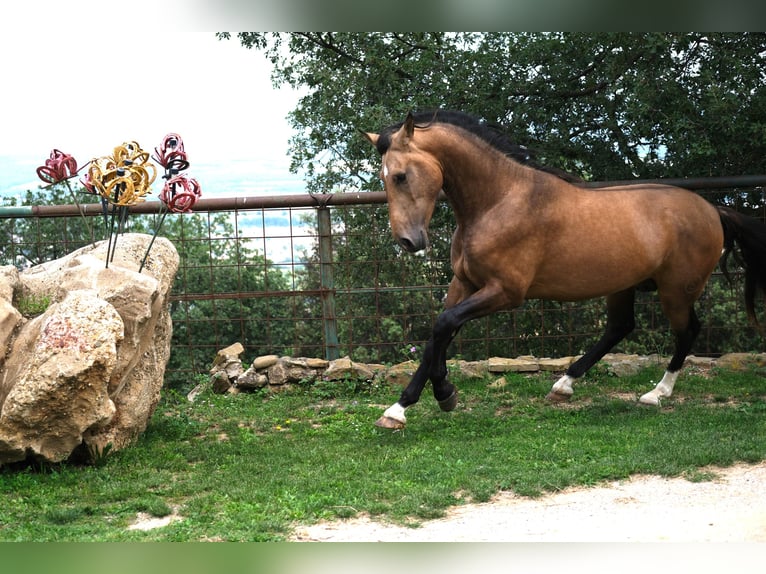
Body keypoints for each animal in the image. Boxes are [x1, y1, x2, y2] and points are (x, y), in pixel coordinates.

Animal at [364, 110, 766, 430]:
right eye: (384, 178)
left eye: (400, 176)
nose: (409, 241)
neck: (499, 200)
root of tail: (712, 209)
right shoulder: (464, 283)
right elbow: (438, 334)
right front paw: (402, 408)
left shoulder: (506, 292)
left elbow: (443, 326)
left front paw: (441, 393)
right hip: (624, 285)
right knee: (620, 328)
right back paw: (564, 385)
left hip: (676, 290)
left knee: (687, 331)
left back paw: (657, 393)